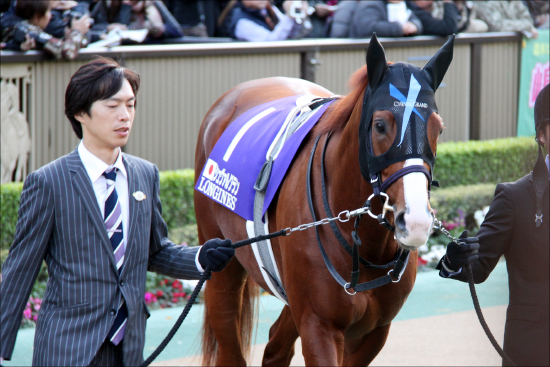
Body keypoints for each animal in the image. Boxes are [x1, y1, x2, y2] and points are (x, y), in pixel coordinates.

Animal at [196, 35, 454, 367]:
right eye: (380, 125)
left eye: (438, 128)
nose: (416, 221)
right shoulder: (319, 325)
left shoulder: (373, 331)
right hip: (222, 265)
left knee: (276, 346)